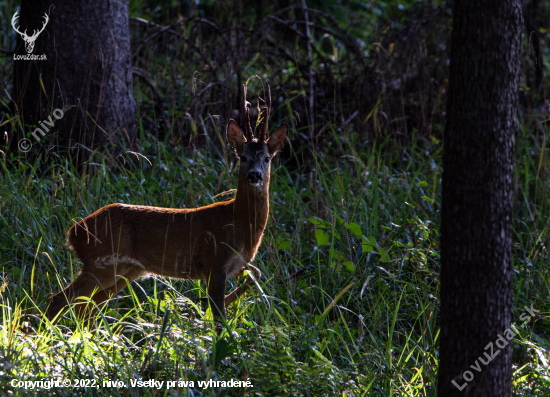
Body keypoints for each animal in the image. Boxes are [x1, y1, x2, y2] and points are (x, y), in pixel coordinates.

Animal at [45, 85, 288, 320]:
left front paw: (216, 302)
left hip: (126, 270)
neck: (239, 222)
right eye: (243, 157)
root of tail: (73, 232)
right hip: (102, 262)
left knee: (86, 306)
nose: (255, 175)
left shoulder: (236, 265)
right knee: (59, 300)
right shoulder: (215, 262)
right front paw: (210, 311)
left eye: (267, 158)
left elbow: (257, 273)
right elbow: (220, 317)